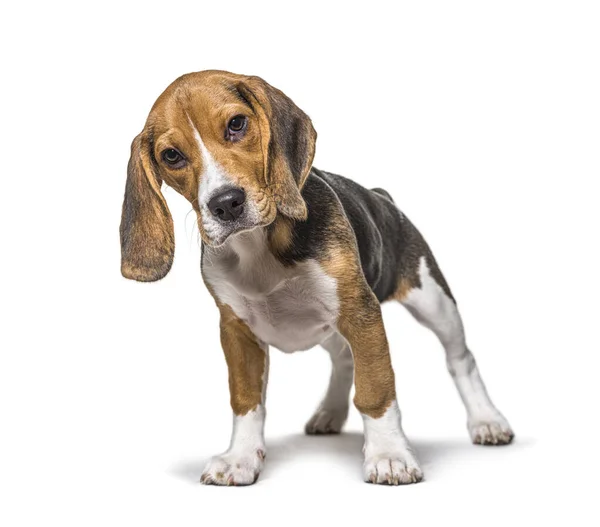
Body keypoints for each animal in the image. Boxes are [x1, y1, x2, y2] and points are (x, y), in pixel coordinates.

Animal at [119, 69, 512, 486]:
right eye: (171, 156)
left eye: (237, 124)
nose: (225, 203)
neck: (259, 245)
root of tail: (382, 197)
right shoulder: (236, 330)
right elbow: (245, 400)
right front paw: (240, 458)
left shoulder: (361, 312)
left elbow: (375, 388)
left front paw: (389, 456)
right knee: (343, 360)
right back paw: (330, 412)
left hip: (433, 300)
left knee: (460, 358)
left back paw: (487, 421)